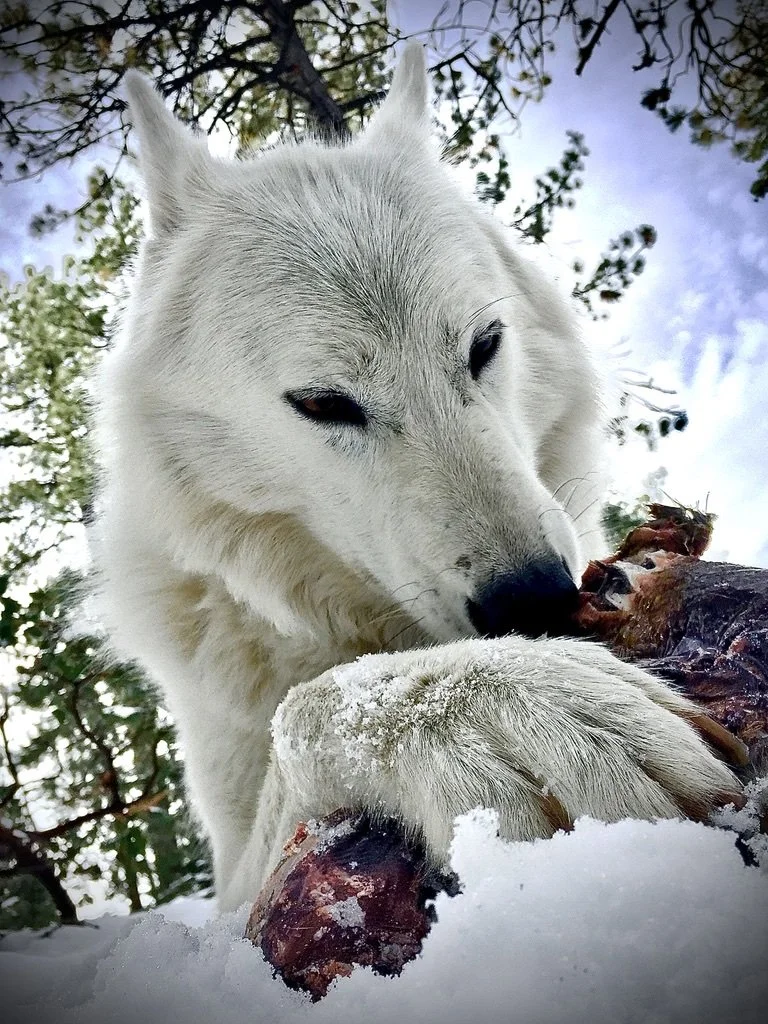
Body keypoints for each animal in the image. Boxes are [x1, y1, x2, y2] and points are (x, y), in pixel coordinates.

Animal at [93, 43, 741, 912]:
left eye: (485, 343)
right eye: (322, 403)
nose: (536, 602)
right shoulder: (227, 886)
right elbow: (311, 701)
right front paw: (493, 708)